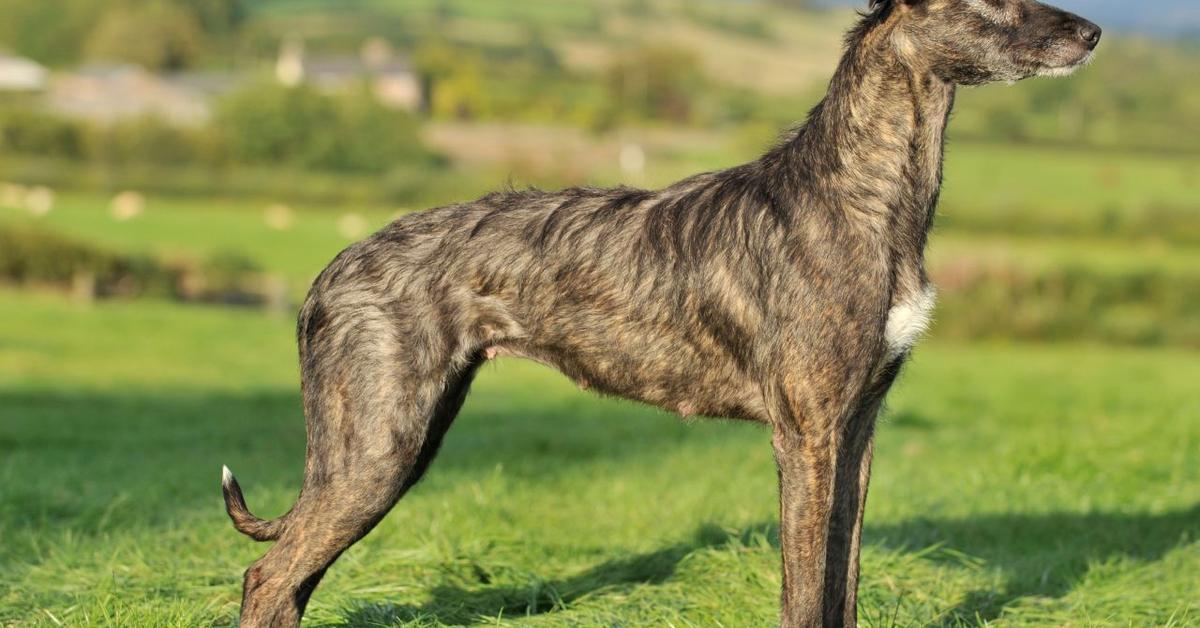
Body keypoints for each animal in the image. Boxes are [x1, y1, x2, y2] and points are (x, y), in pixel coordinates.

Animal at [220, 2, 1099, 624]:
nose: (1092, 34)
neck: (860, 193)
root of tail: (330, 270)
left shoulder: (858, 430)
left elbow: (841, 585)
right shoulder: (806, 434)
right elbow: (804, 594)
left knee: (290, 581)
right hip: (377, 448)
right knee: (268, 577)